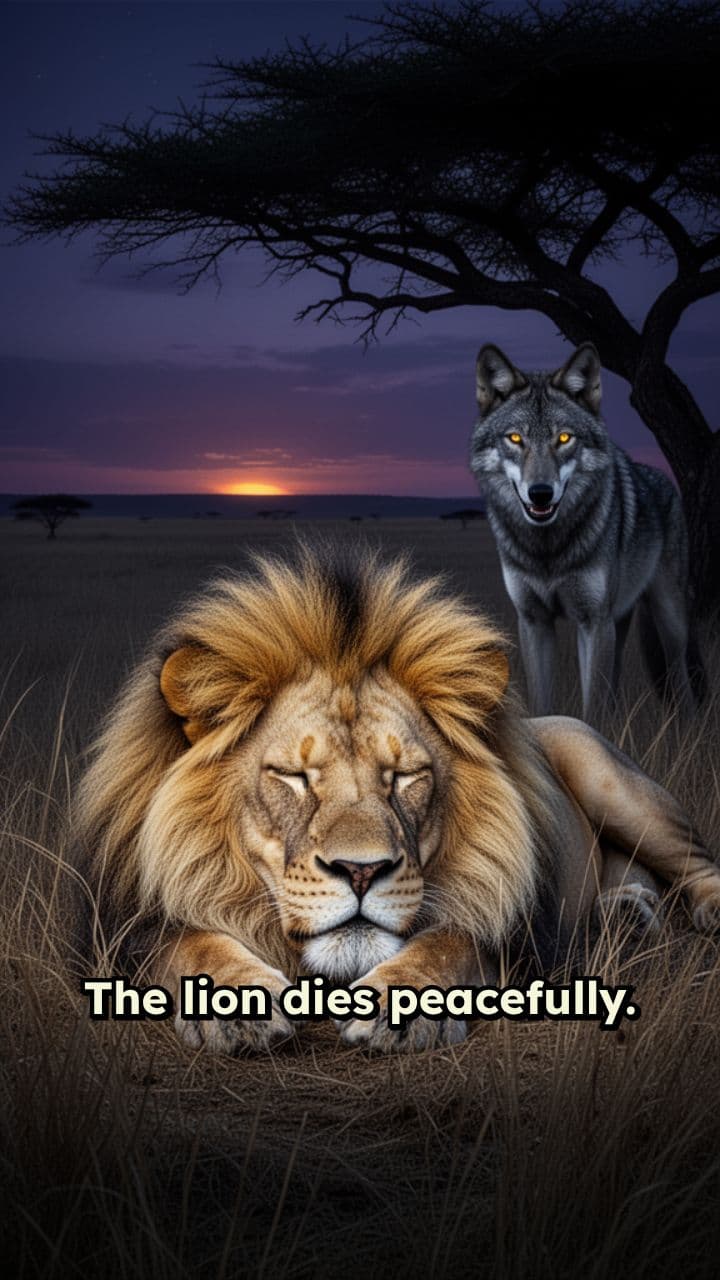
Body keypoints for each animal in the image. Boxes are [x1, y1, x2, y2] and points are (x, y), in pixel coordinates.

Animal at [469, 342, 697, 722]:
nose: (541, 493)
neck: (547, 551)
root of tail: (661, 478)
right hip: (618, 622)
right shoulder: (534, 621)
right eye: (515, 439)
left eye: (564, 438)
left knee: (680, 678)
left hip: (667, 621)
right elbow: (542, 703)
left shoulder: (592, 622)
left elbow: (593, 709)